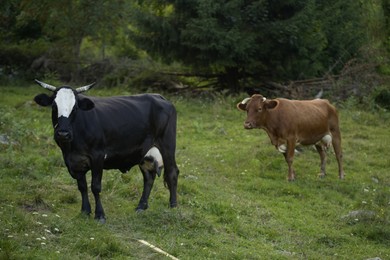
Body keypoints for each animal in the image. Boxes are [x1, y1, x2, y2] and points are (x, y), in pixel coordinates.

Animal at [33, 80, 180, 222]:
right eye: (54, 106)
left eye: (74, 108)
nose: (63, 134)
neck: (72, 146)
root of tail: (158, 96)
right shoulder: (73, 161)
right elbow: (82, 186)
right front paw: (85, 211)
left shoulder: (97, 156)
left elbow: (95, 186)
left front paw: (100, 215)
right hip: (144, 152)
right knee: (149, 176)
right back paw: (141, 206)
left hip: (167, 144)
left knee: (172, 172)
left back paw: (173, 206)